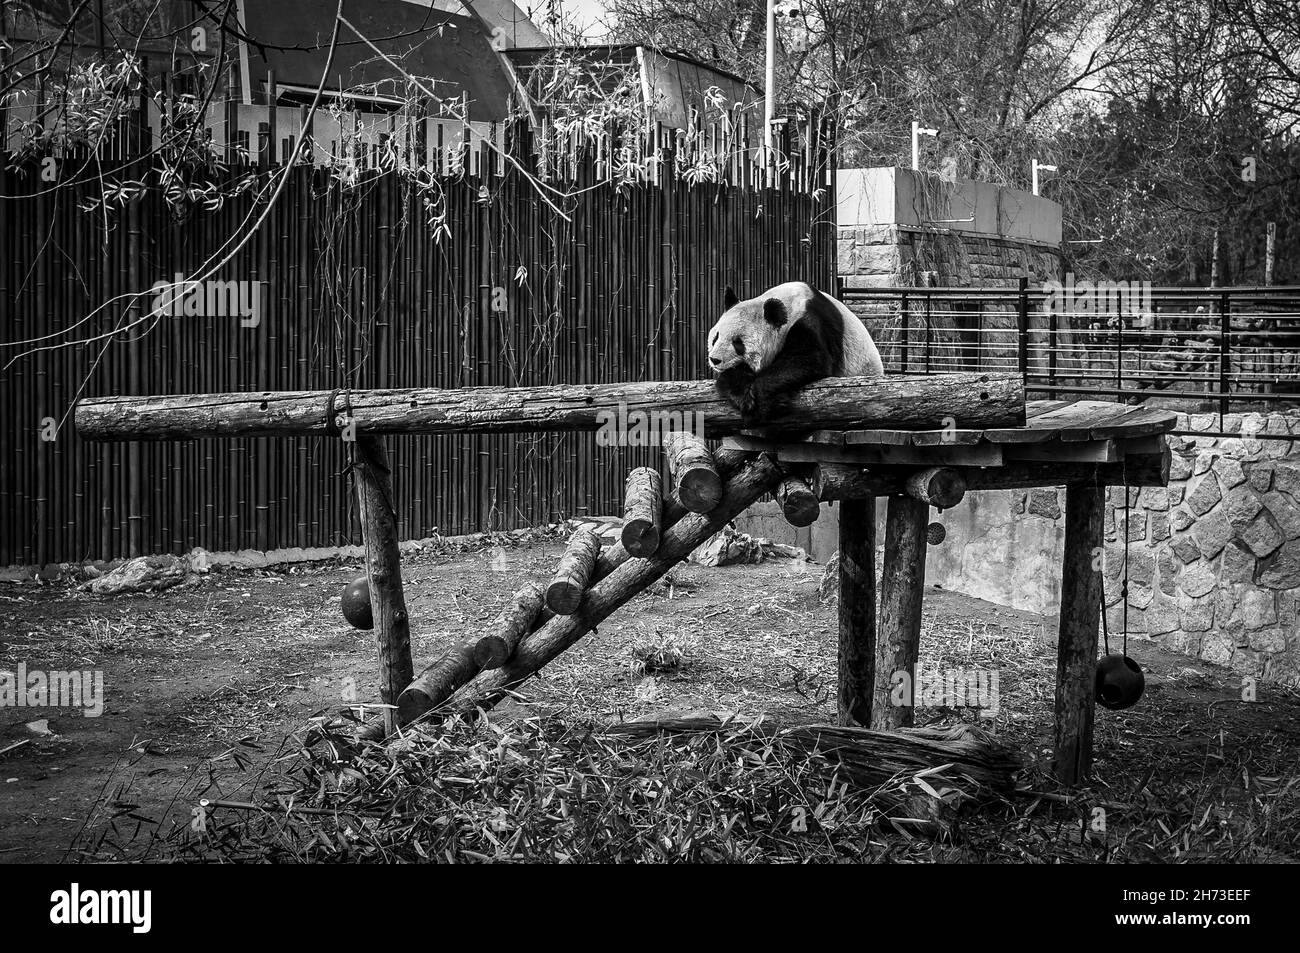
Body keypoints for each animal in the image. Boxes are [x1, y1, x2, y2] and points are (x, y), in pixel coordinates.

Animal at [706, 281, 883, 420]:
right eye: (716, 337)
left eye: (738, 343)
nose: (714, 359)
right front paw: (742, 395)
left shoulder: (811, 322)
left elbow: (808, 359)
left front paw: (764, 404)